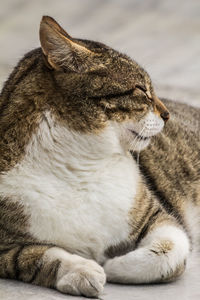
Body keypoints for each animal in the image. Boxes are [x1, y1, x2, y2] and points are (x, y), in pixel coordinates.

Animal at [0, 16, 200, 298]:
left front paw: (114, 266)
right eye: (141, 89)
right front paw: (82, 270)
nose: (167, 115)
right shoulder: (5, 247)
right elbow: (36, 256)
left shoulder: (157, 216)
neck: (82, 166)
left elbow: (170, 249)